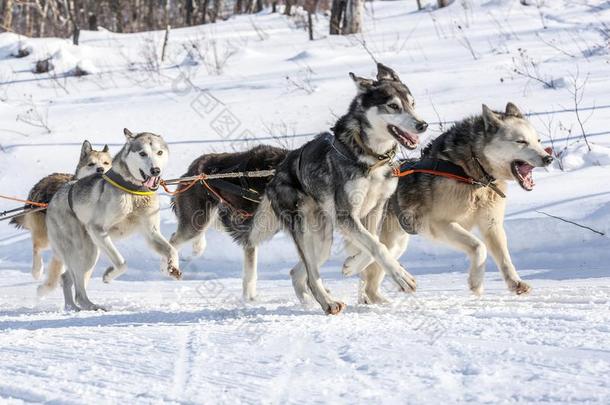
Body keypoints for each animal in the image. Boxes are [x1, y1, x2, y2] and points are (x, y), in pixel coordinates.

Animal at [10, 140, 111, 292]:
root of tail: (41, 182)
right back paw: (37, 271)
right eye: (91, 164)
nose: (100, 170)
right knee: (37, 247)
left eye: (106, 163)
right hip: (45, 236)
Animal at [46, 129, 179, 310]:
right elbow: (121, 263)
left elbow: (172, 250)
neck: (133, 192)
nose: (155, 170)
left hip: (92, 252)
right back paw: (91, 306)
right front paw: (108, 276)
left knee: (67, 278)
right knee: (78, 289)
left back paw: (72, 307)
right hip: (84, 252)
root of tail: (55, 197)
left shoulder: (151, 233)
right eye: (142, 153)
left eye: (159, 152)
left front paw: (169, 268)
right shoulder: (97, 229)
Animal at [344, 102, 552, 302]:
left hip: (396, 244)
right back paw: (355, 269)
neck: (469, 172)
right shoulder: (439, 224)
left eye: (538, 141)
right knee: (371, 264)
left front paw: (515, 283)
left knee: (371, 278)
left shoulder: (491, 225)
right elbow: (479, 247)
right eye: (521, 141)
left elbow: (504, 258)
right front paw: (476, 282)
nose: (548, 158)